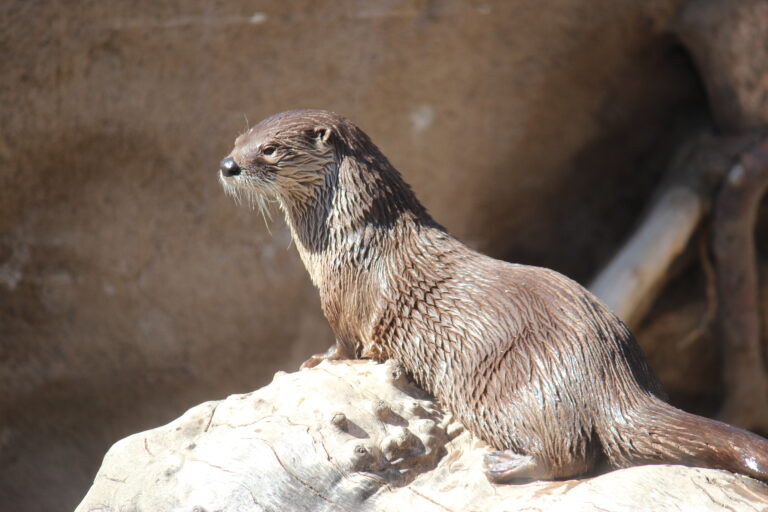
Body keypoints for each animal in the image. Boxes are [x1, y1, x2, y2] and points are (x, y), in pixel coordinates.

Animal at [219, 109, 768, 483]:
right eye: (240, 138)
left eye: (269, 149)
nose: (228, 165)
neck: (350, 237)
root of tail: (614, 380)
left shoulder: (344, 300)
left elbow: (345, 346)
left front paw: (314, 360)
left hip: (514, 389)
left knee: (568, 455)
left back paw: (503, 465)